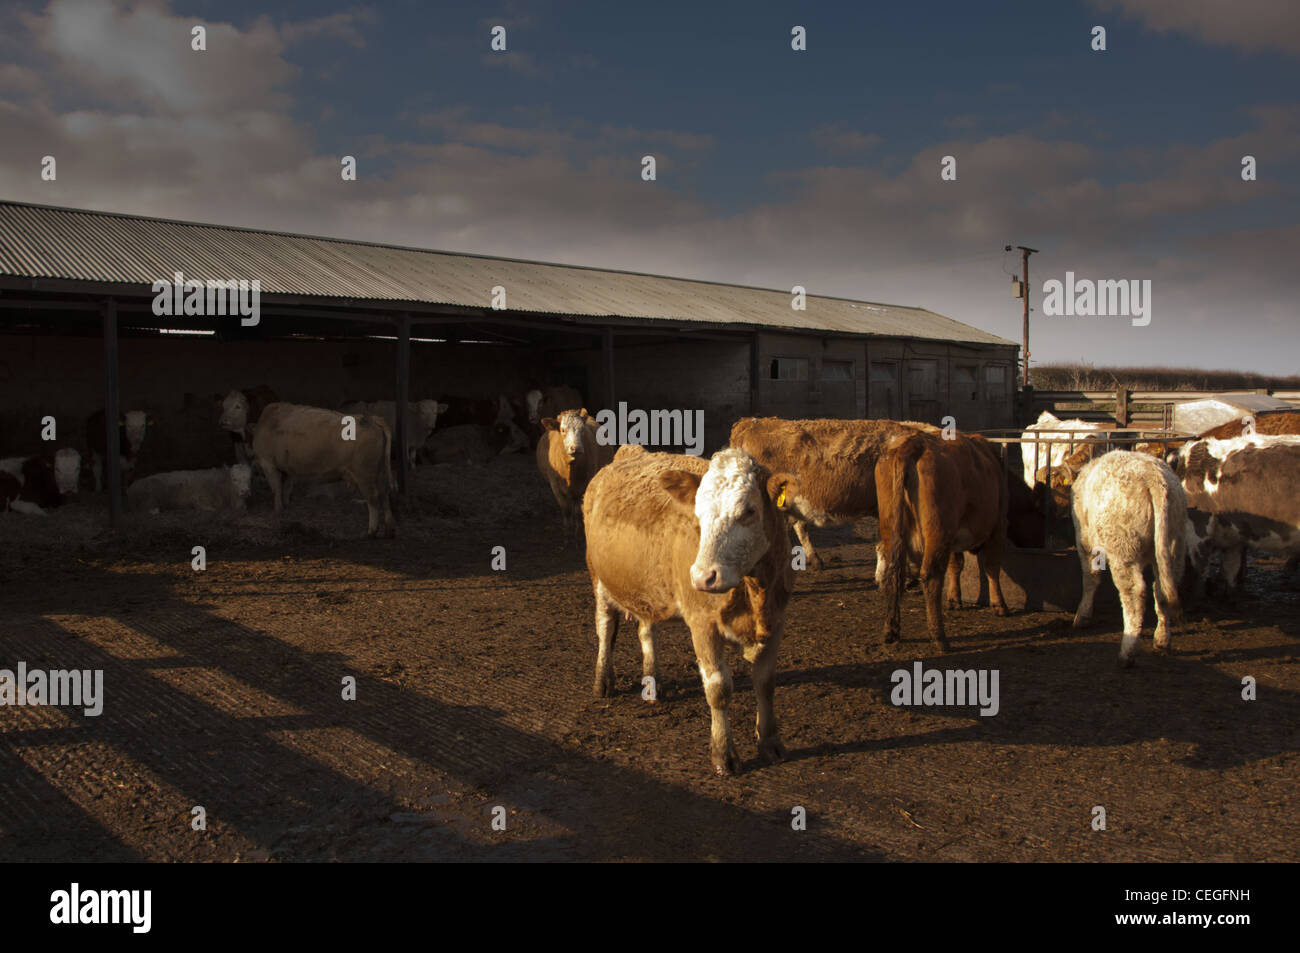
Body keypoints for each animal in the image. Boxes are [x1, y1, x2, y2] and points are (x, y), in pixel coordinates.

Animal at [250, 400, 392, 535]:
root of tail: (372, 419)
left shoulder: (267, 463)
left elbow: (276, 488)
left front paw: (278, 510)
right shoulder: (288, 468)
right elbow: (286, 487)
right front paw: (285, 505)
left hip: (364, 475)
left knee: (373, 499)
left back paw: (372, 531)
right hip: (380, 472)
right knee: (385, 495)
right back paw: (389, 530)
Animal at [582, 447, 800, 774]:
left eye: (749, 511)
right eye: (698, 512)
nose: (702, 576)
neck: (754, 591)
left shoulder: (777, 619)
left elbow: (766, 683)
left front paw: (770, 743)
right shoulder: (702, 624)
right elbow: (718, 688)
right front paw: (723, 755)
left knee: (647, 630)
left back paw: (652, 682)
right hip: (599, 578)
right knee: (605, 628)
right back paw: (603, 681)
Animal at [1066, 449, 1190, 665]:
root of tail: (1153, 476)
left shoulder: (1085, 542)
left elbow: (1091, 578)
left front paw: (1082, 616)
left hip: (1122, 548)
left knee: (1134, 593)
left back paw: (1127, 652)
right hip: (1174, 543)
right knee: (1162, 589)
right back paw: (1162, 641)